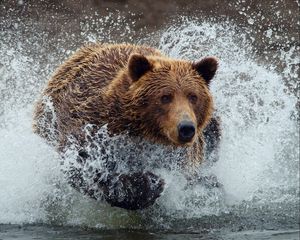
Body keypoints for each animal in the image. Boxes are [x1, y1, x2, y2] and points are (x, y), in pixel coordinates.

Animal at [32, 43, 220, 210]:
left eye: (193, 96)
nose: (186, 128)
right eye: (165, 97)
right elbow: (84, 165)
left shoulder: (181, 156)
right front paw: (148, 183)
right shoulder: (93, 126)